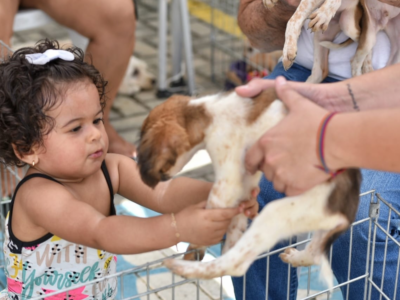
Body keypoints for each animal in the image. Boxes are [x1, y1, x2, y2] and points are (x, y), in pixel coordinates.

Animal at [138, 89, 362, 286]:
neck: (206, 113)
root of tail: (346, 215)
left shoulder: (228, 181)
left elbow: (214, 210)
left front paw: (195, 248)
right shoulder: (245, 181)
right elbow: (236, 221)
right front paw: (229, 239)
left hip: (278, 212)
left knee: (236, 264)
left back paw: (181, 266)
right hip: (318, 226)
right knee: (313, 255)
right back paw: (295, 257)